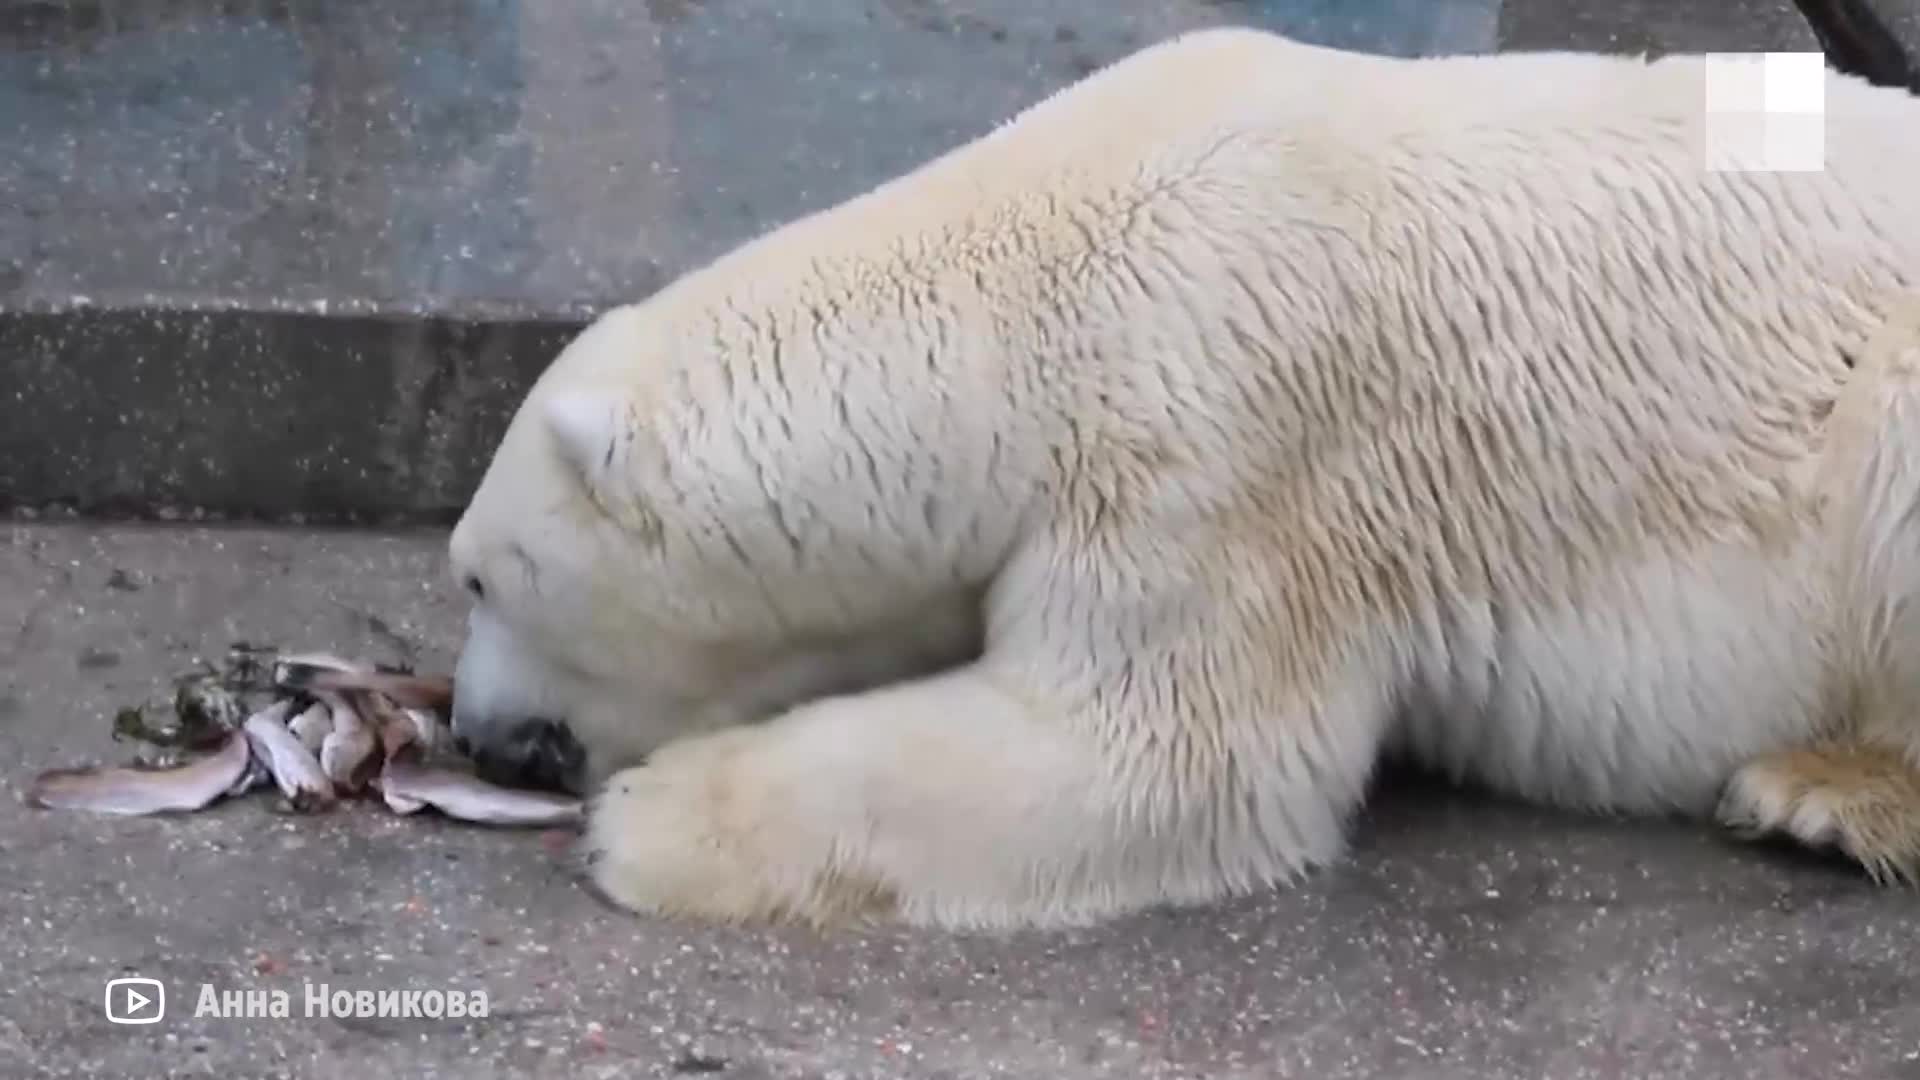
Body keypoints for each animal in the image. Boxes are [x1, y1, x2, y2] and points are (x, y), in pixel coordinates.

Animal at [441, 29, 1920, 930]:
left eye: (481, 577)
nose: (473, 736)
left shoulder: (1222, 439)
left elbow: (1157, 754)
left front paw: (648, 820)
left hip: (1886, 398)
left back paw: (1819, 794)